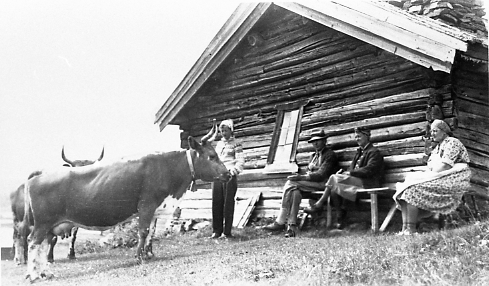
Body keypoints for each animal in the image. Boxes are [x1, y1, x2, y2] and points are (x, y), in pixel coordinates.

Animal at [22, 130, 229, 282]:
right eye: (212, 156)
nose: (228, 173)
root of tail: (37, 177)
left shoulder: (155, 208)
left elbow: (151, 232)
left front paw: (149, 254)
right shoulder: (146, 204)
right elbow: (143, 232)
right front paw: (139, 257)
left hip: (48, 225)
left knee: (41, 245)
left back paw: (44, 272)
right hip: (42, 223)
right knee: (33, 243)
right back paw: (34, 275)